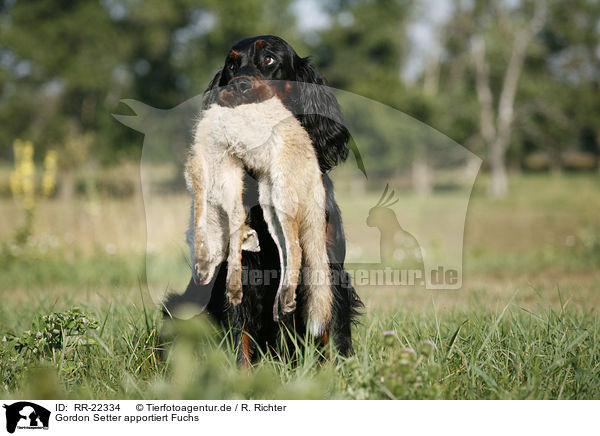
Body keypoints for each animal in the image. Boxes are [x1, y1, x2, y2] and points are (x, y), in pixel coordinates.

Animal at [162, 35, 364, 364]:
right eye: (231, 65)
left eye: (269, 59)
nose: (238, 86)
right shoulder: (240, 273)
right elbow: (240, 338)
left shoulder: (328, 267)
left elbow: (329, 331)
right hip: (181, 306)